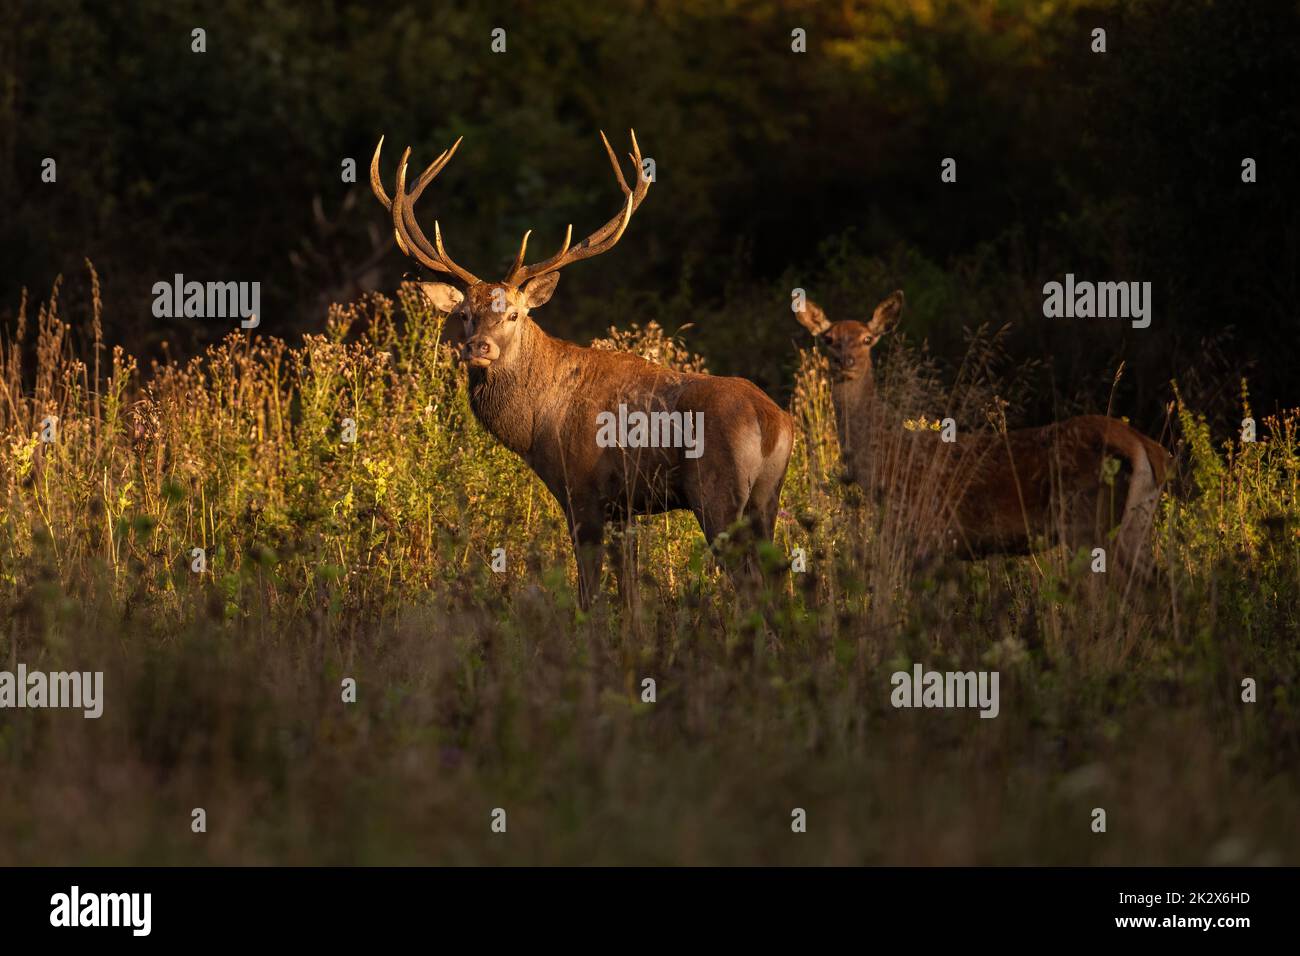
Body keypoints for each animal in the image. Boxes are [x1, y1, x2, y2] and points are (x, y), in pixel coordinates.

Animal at [371, 130, 794, 609]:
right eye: (464, 313)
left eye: (514, 313)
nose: (477, 347)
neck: (536, 423)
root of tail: (773, 422)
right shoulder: (625, 506)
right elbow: (630, 591)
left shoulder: (581, 489)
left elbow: (589, 592)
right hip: (766, 498)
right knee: (775, 575)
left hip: (717, 494)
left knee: (750, 582)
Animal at [794, 291, 1171, 579]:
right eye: (828, 339)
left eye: (867, 339)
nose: (846, 361)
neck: (887, 461)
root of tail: (1147, 447)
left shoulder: (927, 532)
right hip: (1134, 525)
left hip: (1088, 521)